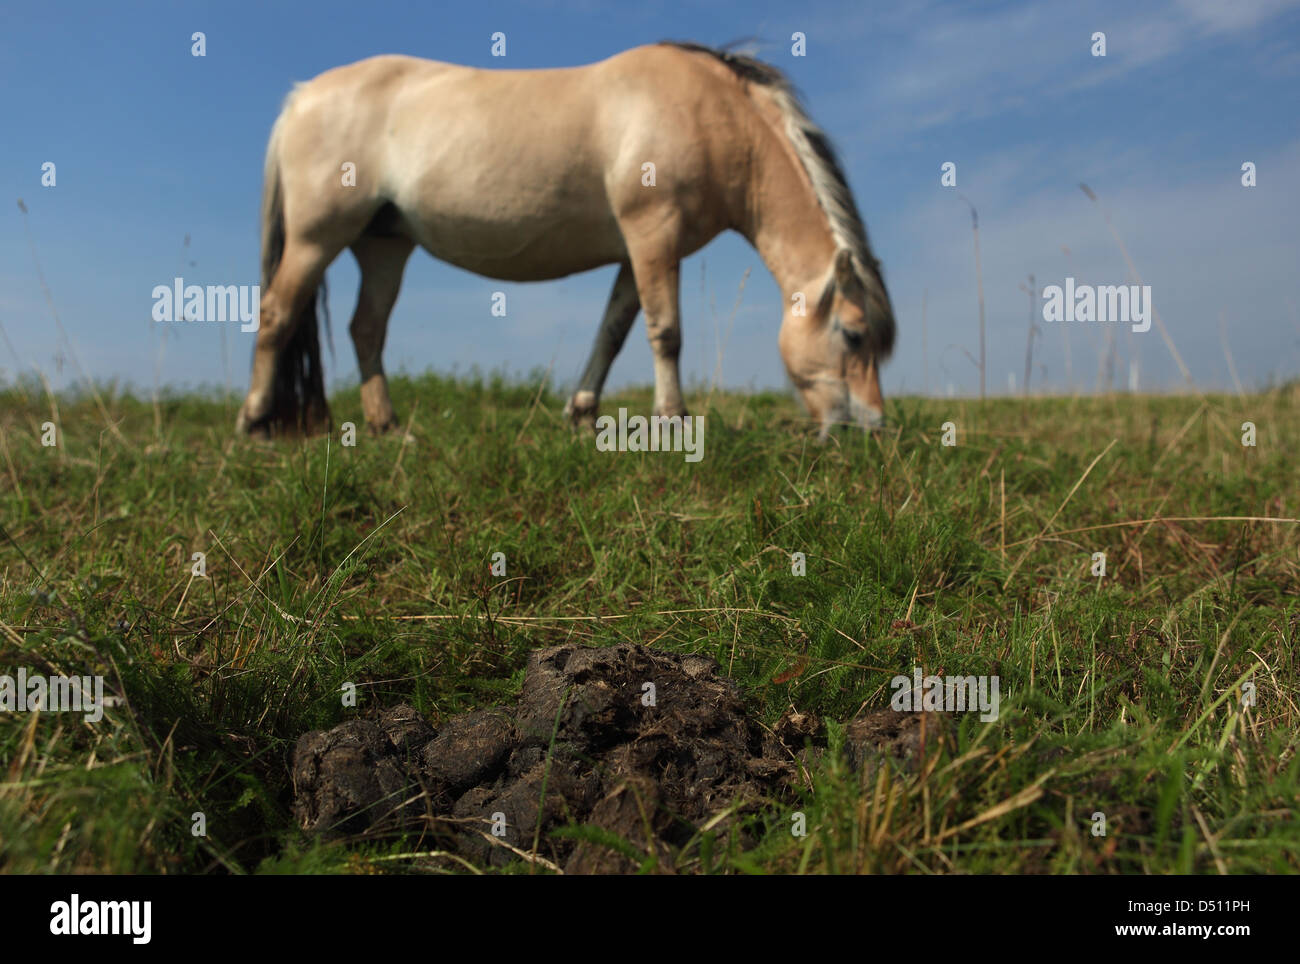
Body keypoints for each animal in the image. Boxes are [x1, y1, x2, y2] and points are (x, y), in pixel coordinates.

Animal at [236, 41, 894, 441]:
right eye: (853, 334)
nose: (871, 427)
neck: (708, 112)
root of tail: (302, 96)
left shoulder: (638, 251)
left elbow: (614, 329)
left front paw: (582, 412)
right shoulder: (653, 234)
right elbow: (666, 332)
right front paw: (673, 420)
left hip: (384, 245)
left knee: (366, 329)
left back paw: (388, 427)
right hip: (317, 238)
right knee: (276, 315)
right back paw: (256, 422)